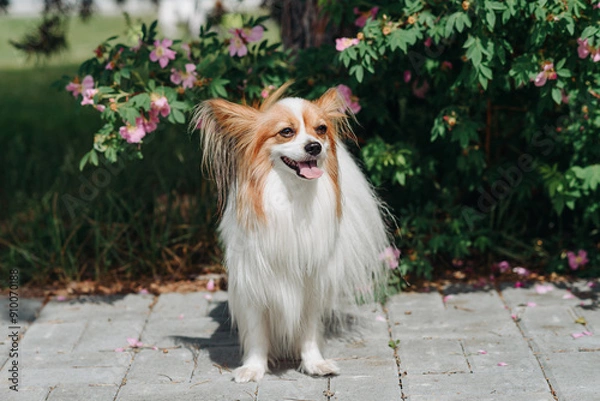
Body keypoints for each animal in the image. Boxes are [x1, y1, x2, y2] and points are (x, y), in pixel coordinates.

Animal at [193, 84, 394, 382]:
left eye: (321, 129)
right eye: (286, 131)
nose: (314, 146)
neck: (291, 196)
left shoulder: (311, 282)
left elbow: (308, 330)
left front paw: (314, 363)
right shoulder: (254, 281)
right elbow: (256, 332)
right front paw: (253, 368)